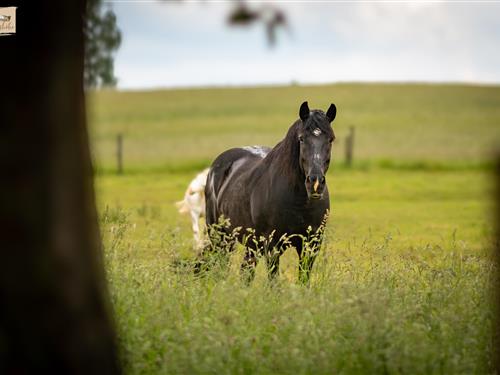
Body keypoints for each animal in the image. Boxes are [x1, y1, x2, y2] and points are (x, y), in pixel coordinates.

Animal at [200, 101, 336, 284]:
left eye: (330, 139)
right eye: (301, 138)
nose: (315, 182)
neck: (299, 202)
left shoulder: (310, 245)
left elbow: (303, 280)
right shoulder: (272, 246)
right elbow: (274, 282)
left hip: (250, 244)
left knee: (246, 272)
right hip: (221, 238)